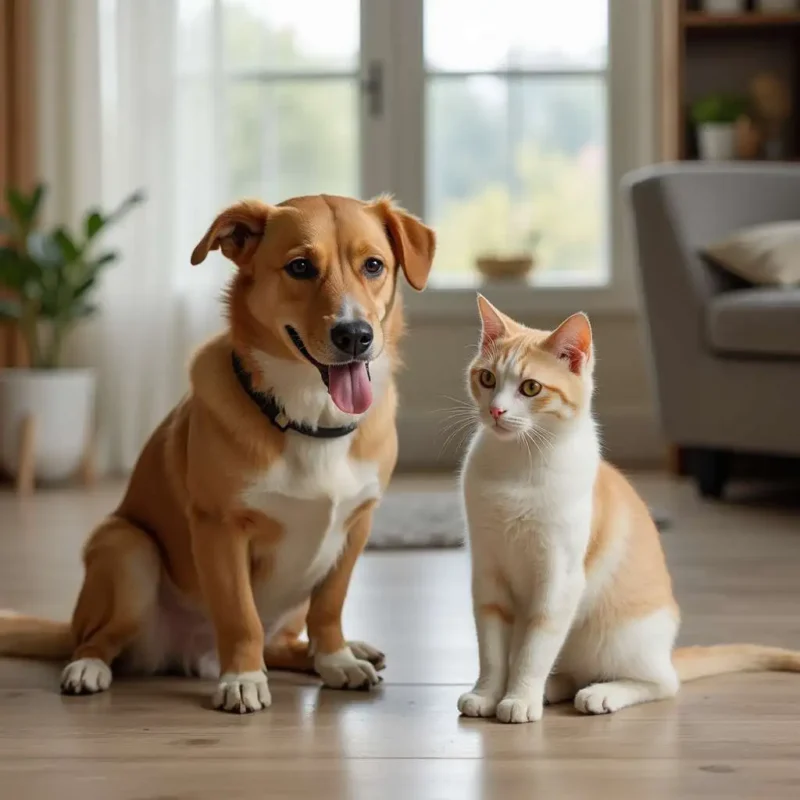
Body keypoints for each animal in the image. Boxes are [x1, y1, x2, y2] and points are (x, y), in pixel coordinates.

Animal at [0, 192, 434, 712]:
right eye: (301, 267)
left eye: (373, 265)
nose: (355, 336)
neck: (309, 418)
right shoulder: (220, 529)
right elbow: (240, 616)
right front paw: (242, 678)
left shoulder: (356, 526)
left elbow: (329, 609)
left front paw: (336, 659)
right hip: (126, 549)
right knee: (98, 638)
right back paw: (87, 668)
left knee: (285, 641)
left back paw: (345, 651)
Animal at [456, 296, 800, 720]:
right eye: (487, 379)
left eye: (531, 387)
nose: (496, 411)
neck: (518, 462)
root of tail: (665, 652)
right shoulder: (487, 571)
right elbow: (491, 648)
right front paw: (488, 693)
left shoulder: (560, 577)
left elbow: (534, 647)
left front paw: (519, 698)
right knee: (575, 672)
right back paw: (555, 687)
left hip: (621, 638)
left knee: (662, 683)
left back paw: (601, 693)